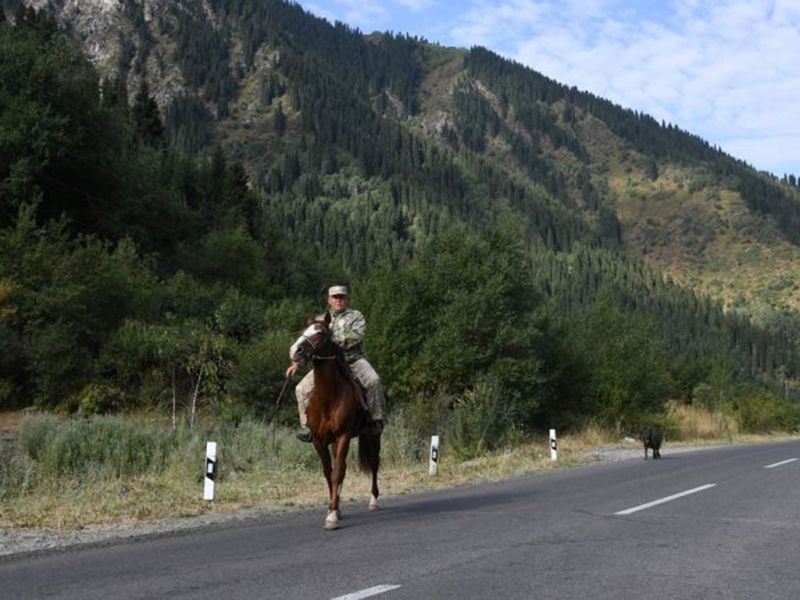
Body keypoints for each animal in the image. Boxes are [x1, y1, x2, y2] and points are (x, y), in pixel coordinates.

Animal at [290, 314, 382, 528]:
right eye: (303, 331)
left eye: (321, 333)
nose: (295, 351)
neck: (328, 397)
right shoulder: (318, 441)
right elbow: (328, 473)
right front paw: (334, 509)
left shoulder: (343, 437)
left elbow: (337, 472)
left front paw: (332, 516)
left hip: (372, 435)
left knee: (374, 463)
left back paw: (373, 500)